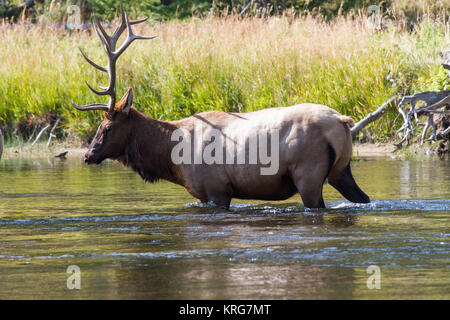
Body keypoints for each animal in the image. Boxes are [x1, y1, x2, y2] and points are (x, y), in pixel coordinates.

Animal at [73, 8, 370, 209]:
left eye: (107, 127)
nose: (87, 155)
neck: (171, 157)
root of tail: (342, 120)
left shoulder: (216, 190)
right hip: (342, 170)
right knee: (364, 198)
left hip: (308, 173)